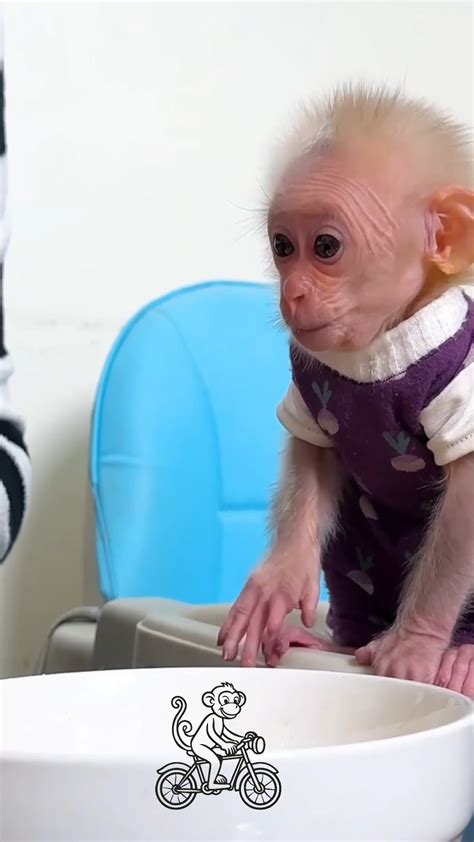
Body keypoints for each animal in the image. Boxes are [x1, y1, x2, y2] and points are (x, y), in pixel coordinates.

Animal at [218, 84, 474, 699]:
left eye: (327, 247)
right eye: (283, 246)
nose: (292, 293)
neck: (381, 345)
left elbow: (465, 501)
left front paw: (416, 645)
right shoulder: (309, 381)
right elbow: (313, 450)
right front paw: (281, 578)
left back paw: (462, 658)